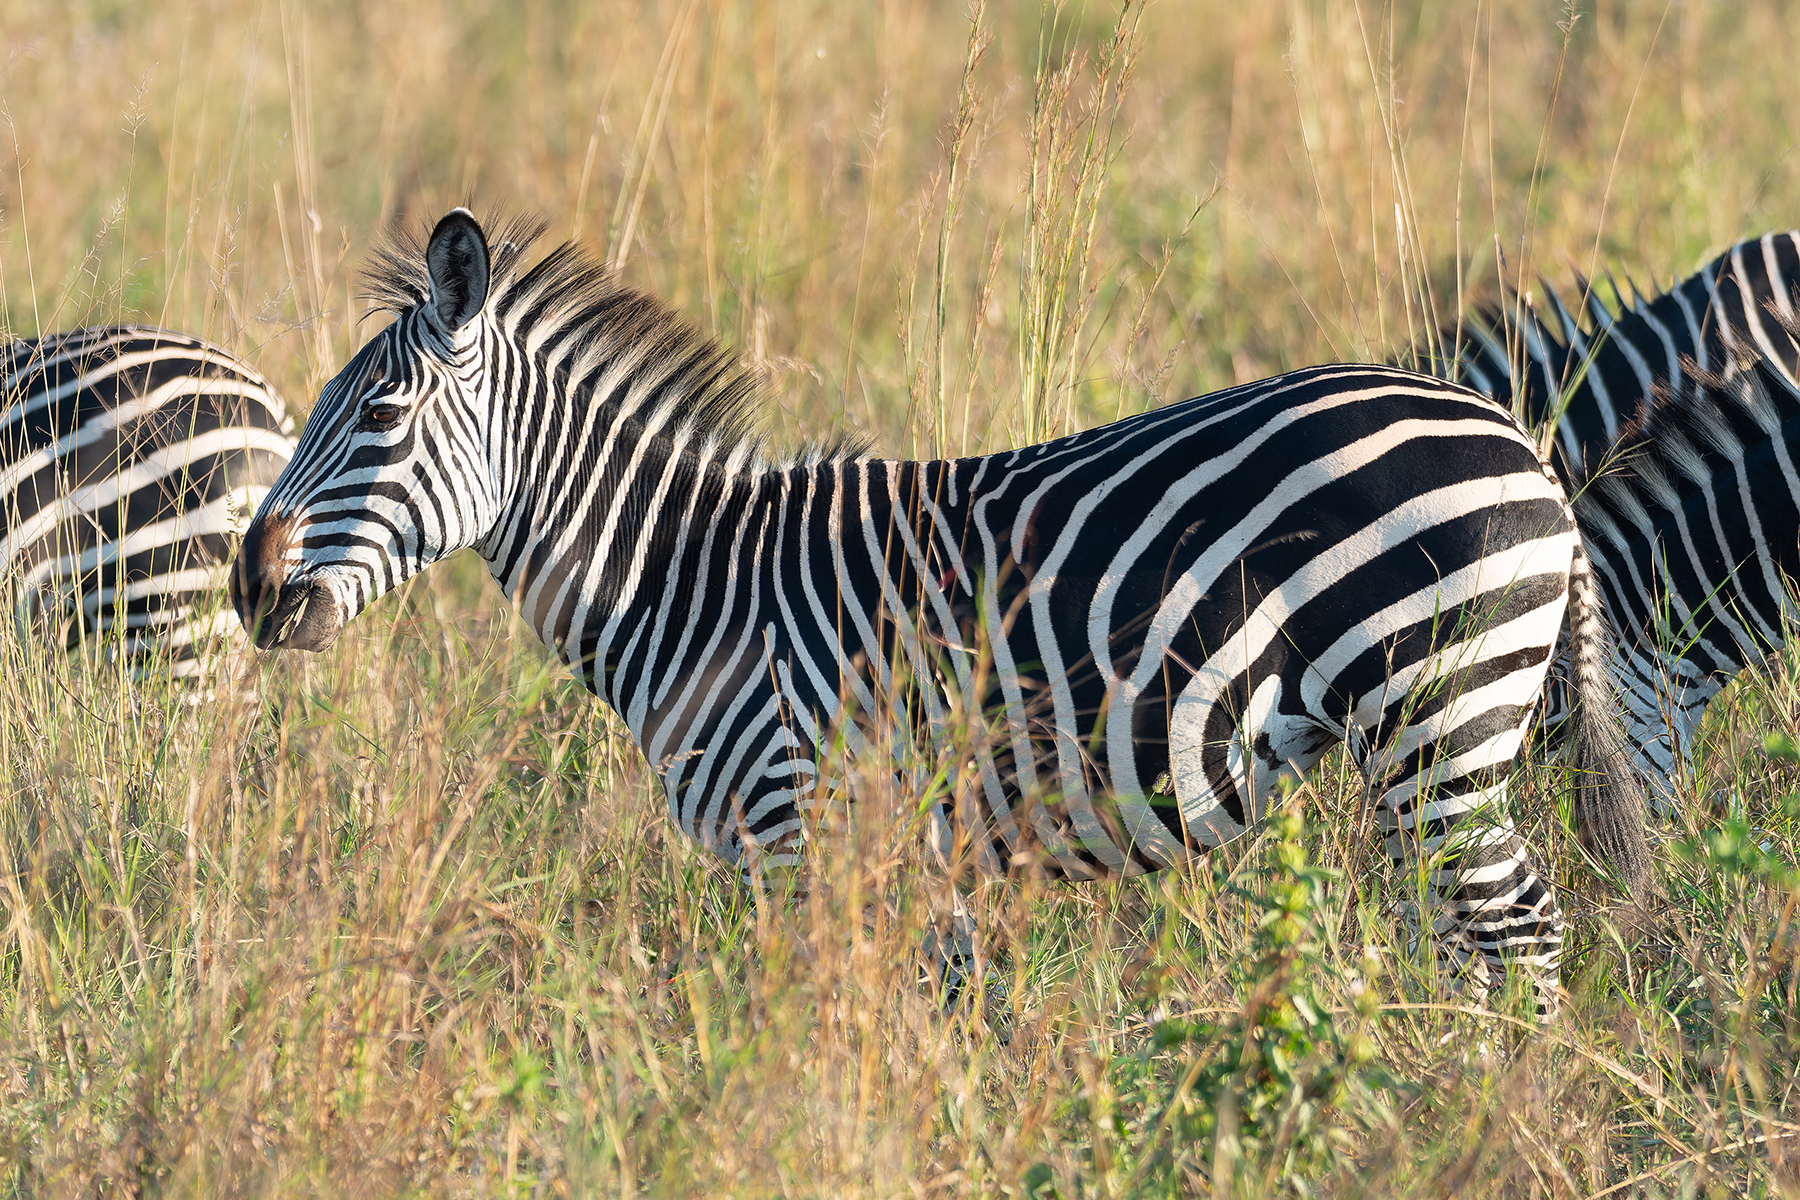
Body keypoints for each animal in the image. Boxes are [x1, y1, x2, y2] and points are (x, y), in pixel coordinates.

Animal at [231, 209, 1650, 1014]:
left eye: (379, 417)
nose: (248, 586)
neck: (690, 584)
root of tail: (1519, 438)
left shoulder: (801, 826)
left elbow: (834, 1030)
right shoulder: (883, 852)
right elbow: (939, 1013)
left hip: (1438, 717)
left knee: (1516, 925)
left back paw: (1484, 1114)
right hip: (1430, 744)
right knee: (1472, 930)